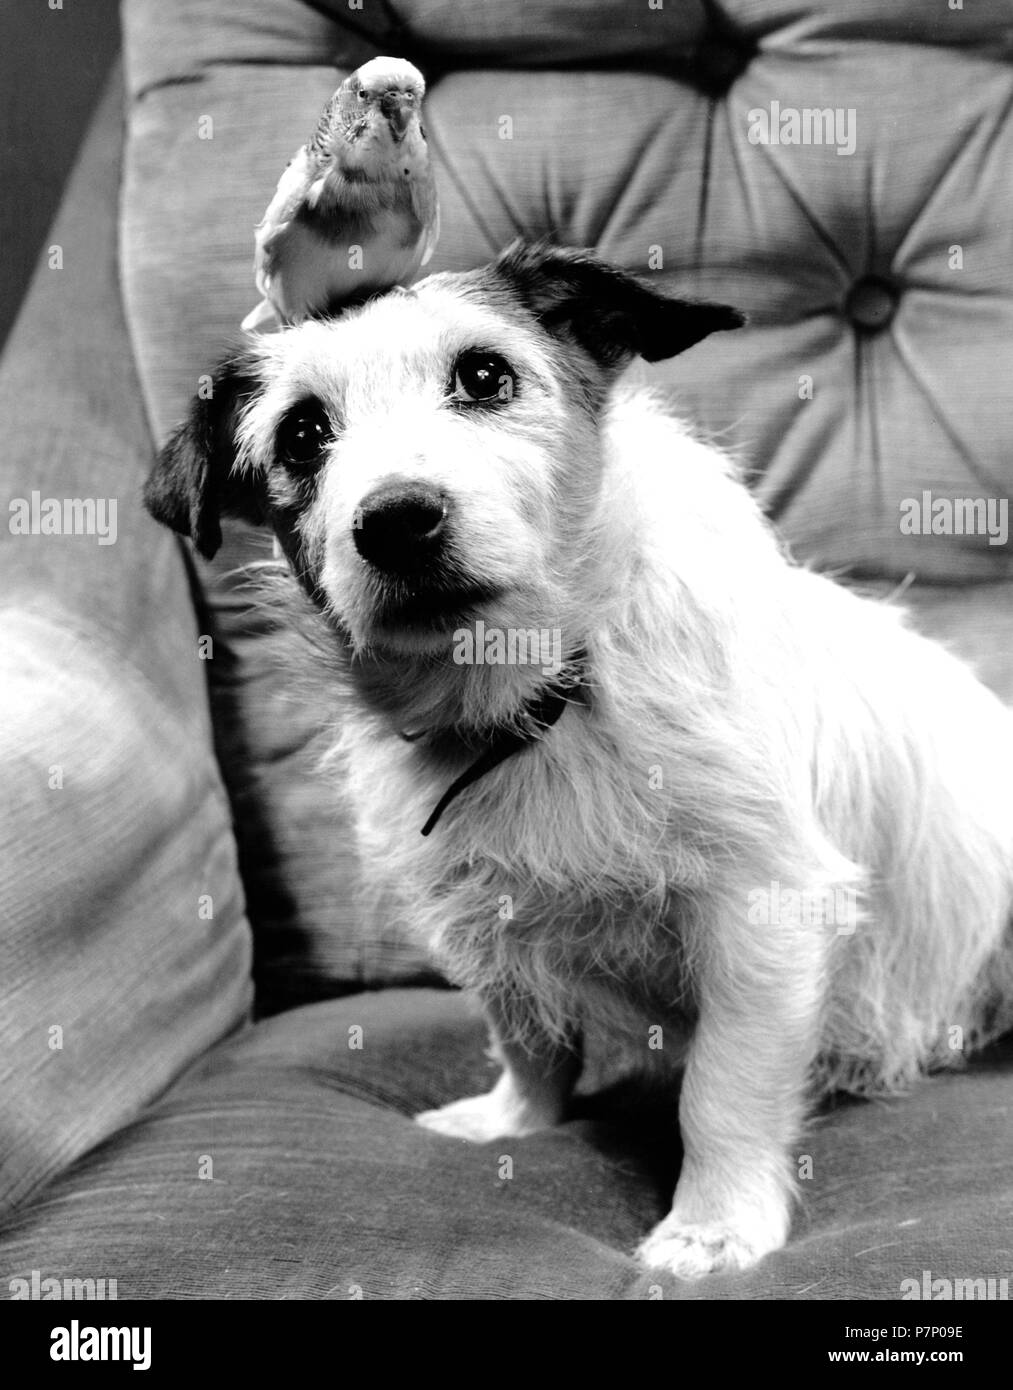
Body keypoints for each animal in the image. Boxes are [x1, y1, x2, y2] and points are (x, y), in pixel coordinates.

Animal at [142, 244, 1011, 1273]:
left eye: (484, 376)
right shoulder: (487, 912)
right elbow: (525, 1035)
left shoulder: (762, 912)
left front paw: (711, 1225)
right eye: (303, 433)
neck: (541, 700)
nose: (395, 521)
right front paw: (514, 1121)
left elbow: (721, 1088)